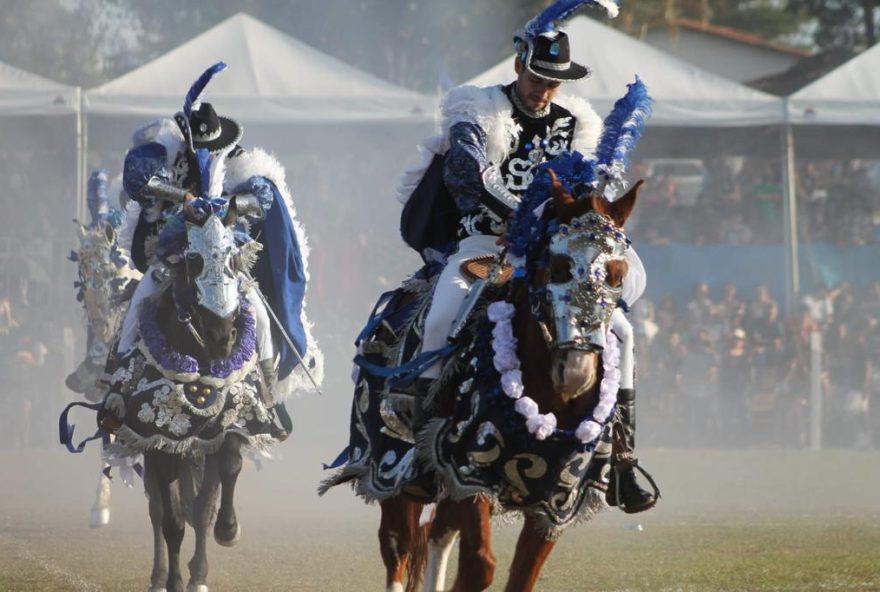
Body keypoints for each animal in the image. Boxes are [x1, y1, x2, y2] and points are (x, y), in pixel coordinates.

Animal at [99, 200, 278, 592]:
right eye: (193, 259)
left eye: (234, 259)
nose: (222, 335)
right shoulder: (161, 438)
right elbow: (172, 520)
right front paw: (175, 580)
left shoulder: (228, 425)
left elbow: (222, 480)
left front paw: (227, 530)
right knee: (158, 511)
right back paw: (159, 577)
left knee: (200, 505)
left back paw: (198, 572)